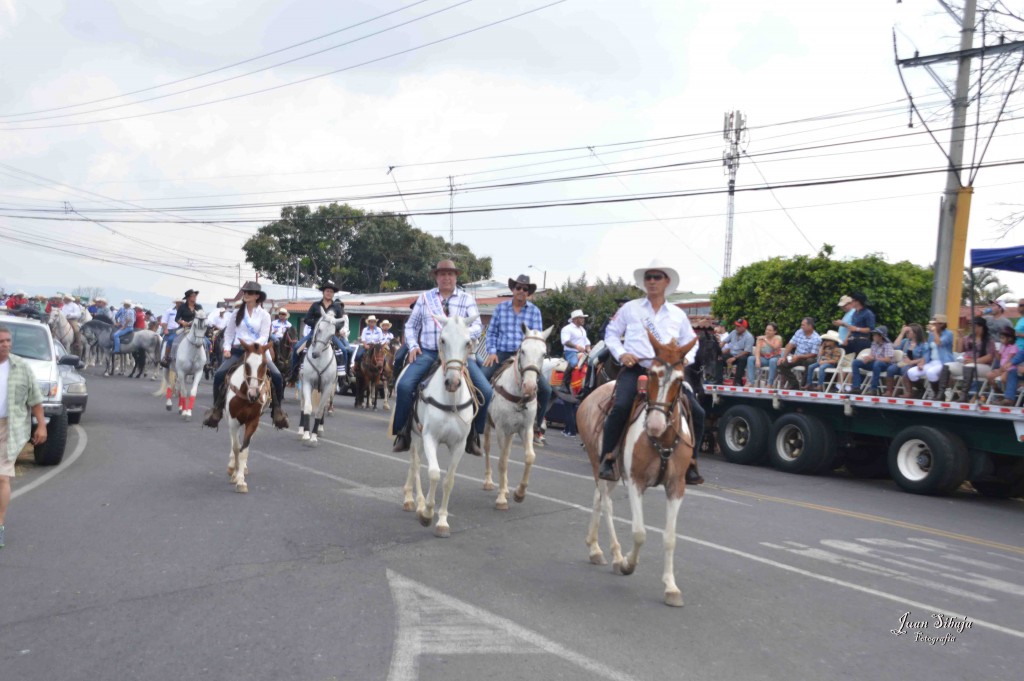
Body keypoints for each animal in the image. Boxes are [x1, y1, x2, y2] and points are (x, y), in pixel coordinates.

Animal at [296, 311, 339, 444]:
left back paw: (320, 429)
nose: (315, 354)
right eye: (319, 329)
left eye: (332, 334)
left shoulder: (328, 387)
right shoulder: (307, 383)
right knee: (302, 405)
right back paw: (300, 430)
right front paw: (306, 434)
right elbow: (307, 407)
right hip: (301, 383)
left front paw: (314, 436)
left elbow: (320, 411)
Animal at [399, 313, 479, 536]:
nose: (452, 382)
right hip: (415, 435)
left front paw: (442, 521)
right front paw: (426, 513)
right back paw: (415, 501)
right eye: (442, 340)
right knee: (416, 463)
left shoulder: (459, 445)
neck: (450, 400)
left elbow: (448, 480)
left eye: (468, 342)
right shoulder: (429, 438)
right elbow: (434, 474)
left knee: (415, 464)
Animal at [481, 325, 552, 509]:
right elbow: (502, 461)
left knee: (507, 451)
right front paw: (501, 499)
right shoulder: (500, 429)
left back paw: (506, 488)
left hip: (510, 433)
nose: (530, 386)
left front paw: (519, 493)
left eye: (544, 354)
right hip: (487, 426)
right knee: (488, 449)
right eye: (523, 350)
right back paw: (489, 482)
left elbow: (529, 457)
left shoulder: (525, 429)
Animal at [577, 329, 696, 606]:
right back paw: (616, 556)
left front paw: (671, 587)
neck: (662, 440)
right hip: (600, 463)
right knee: (606, 504)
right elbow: (640, 532)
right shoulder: (635, 481)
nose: (654, 424)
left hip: (609, 472)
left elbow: (670, 537)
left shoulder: (677, 487)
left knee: (598, 499)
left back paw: (595, 548)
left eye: (680, 379)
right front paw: (628, 564)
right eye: (651, 373)